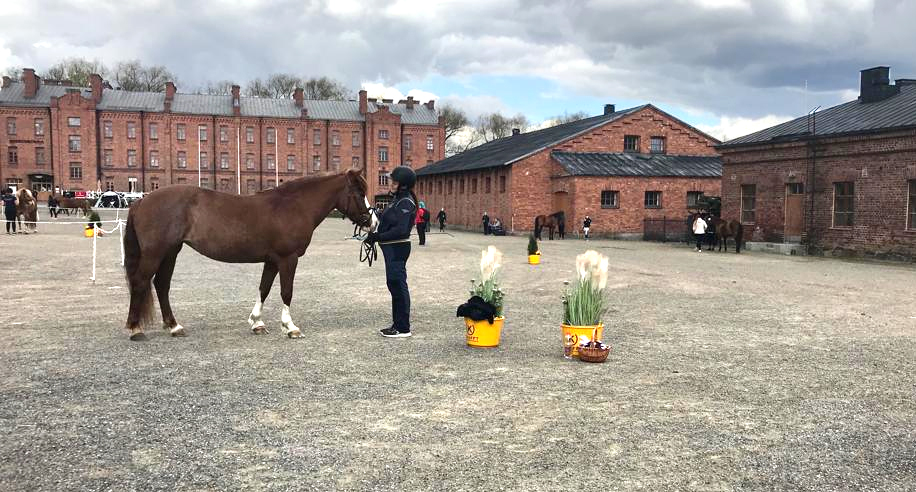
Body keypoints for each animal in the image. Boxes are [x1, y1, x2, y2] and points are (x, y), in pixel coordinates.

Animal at [125, 171, 376, 340]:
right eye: (359, 192)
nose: (372, 222)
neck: (293, 206)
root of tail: (141, 201)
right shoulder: (288, 258)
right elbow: (286, 292)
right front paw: (290, 327)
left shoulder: (272, 260)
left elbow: (263, 289)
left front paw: (257, 323)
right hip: (156, 253)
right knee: (140, 282)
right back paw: (135, 329)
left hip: (171, 252)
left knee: (161, 285)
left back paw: (174, 326)